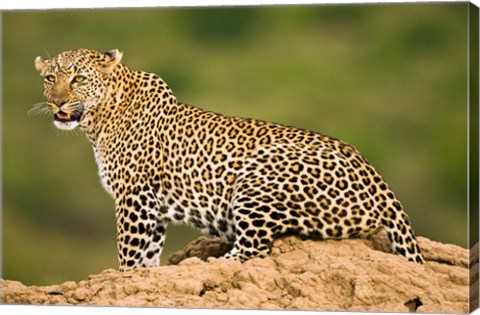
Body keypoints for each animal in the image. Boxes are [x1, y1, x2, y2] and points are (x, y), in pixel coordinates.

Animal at [33, 48, 424, 270]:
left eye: (77, 78)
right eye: (50, 78)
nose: (57, 104)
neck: (100, 118)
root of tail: (382, 185)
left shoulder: (134, 196)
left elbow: (128, 253)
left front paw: (125, 278)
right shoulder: (153, 206)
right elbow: (147, 255)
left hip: (258, 177)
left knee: (254, 249)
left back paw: (206, 265)